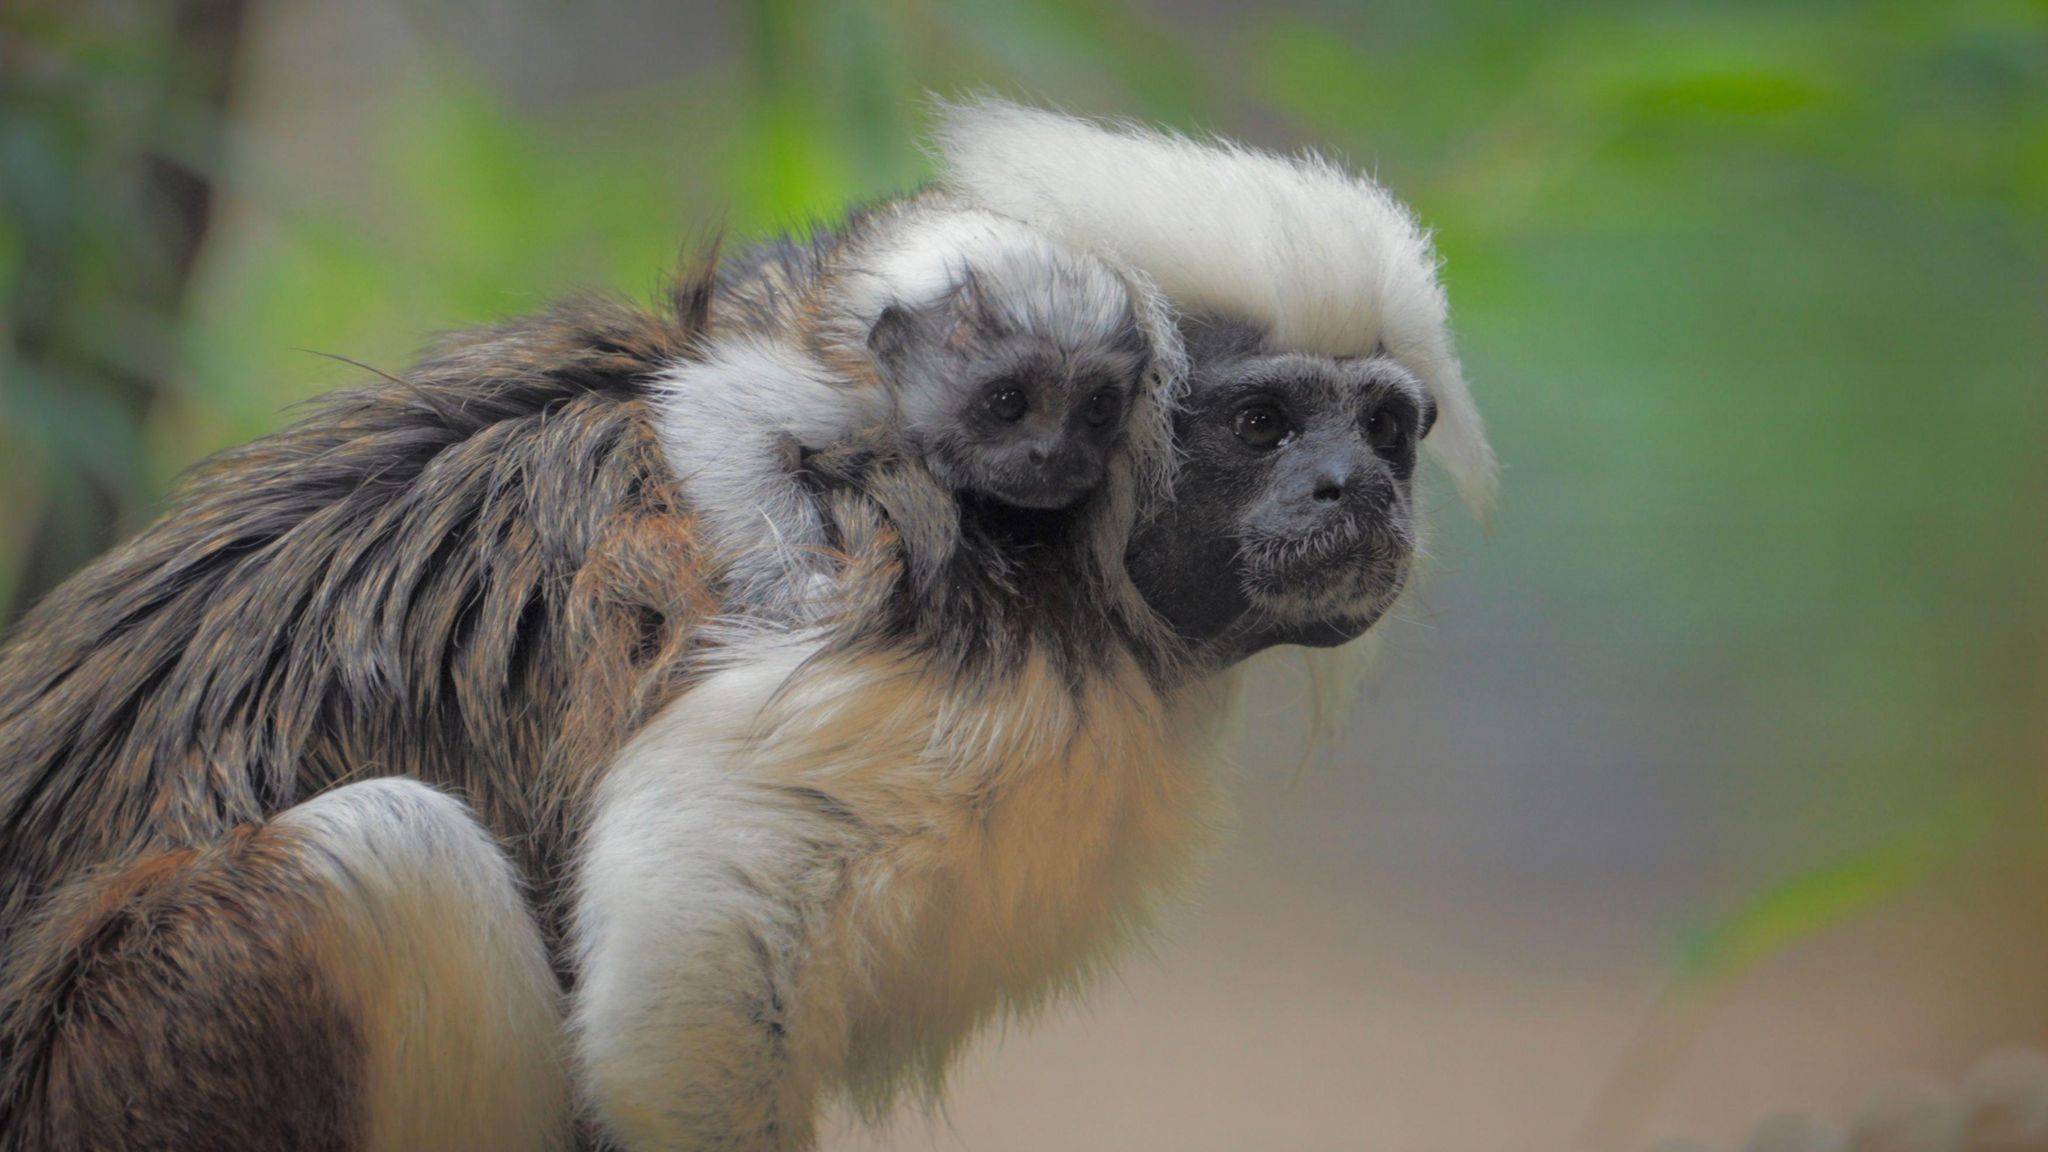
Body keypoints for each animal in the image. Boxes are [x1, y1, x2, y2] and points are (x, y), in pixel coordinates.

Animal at [667, 192, 1155, 614]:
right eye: (1007, 402)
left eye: (1098, 408)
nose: (1056, 453)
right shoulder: (851, 399)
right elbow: (711, 407)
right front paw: (799, 581)